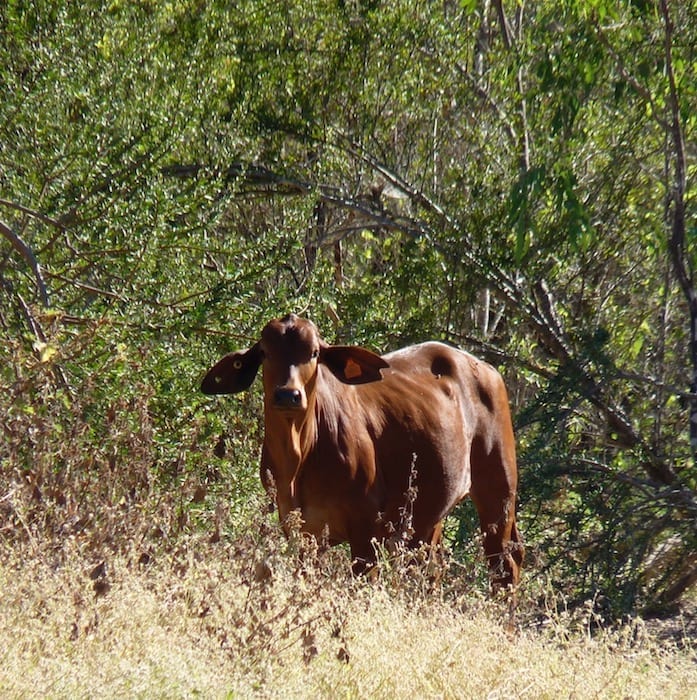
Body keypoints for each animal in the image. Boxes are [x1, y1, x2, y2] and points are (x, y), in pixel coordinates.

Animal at [201, 314, 520, 588]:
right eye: (265, 352)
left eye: (314, 353)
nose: (288, 395)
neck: (299, 457)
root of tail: (486, 368)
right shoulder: (298, 529)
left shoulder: (366, 529)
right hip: (429, 514)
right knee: (430, 566)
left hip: (499, 492)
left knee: (506, 564)